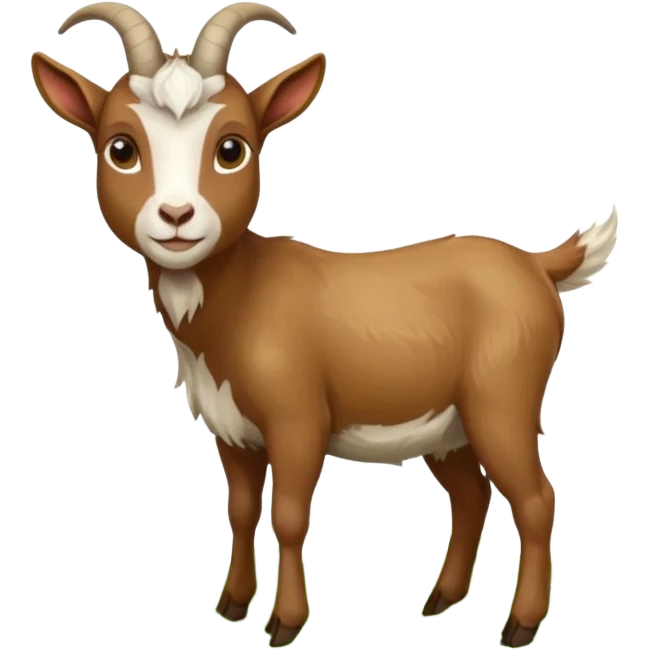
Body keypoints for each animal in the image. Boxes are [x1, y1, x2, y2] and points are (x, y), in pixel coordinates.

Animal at [30, 1, 619, 647]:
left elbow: (288, 516)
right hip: (449, 423)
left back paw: (519, 623)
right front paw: (233, 605)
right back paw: (440, 599)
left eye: (232, 148)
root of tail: (537, 265)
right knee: (472, 494)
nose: (177, 216)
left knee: (536, 498)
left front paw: (285, 623)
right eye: (121, 148)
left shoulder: (298, 420)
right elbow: (241, 510)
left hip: (503, 401)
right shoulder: (231, 430)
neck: (242, 300)